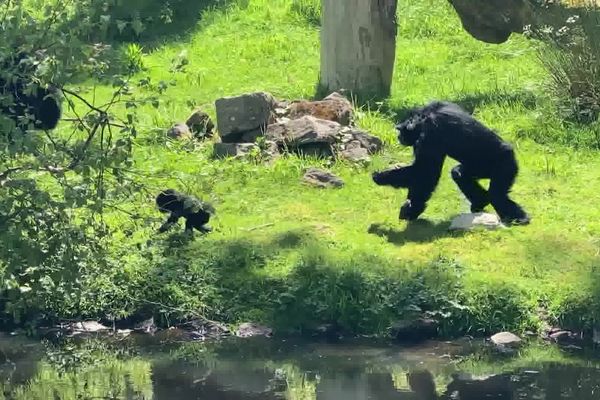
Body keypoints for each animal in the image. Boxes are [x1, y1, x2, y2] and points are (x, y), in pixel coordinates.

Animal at [370, 101, 528, 225]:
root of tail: (510, 151)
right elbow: (423, 173)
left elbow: (425, 172)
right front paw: (411, 207)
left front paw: (380, 177)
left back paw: (519, 218)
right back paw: (480, 201)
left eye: (400, 130)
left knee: (497, 195)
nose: (399, 136)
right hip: (483, 168)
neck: (425, 116)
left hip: (505, 165)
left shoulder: (430, 135)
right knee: (458, 173)